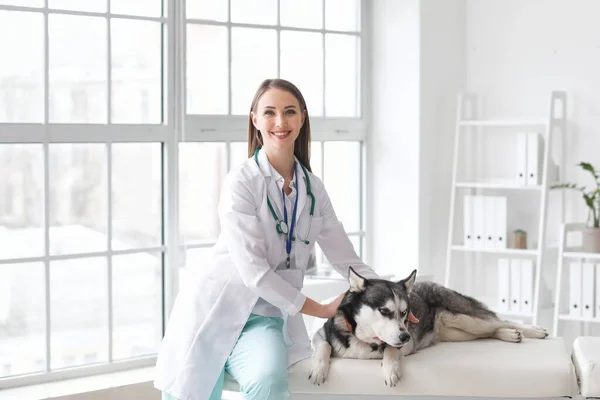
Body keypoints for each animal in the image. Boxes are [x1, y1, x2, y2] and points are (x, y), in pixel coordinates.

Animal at [310, 268, 548, 388]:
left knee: (498, 320)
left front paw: (390, 369)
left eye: (405, 313)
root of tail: (434, 283)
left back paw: (531, 330)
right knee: (489, 331)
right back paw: (510, 334)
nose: (406, 336)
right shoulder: (320, 335)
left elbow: (390, 349)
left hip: (467, 319)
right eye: (384, 311)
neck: (363, 339)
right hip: (457, 333)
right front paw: (319, 368)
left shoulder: (404, 344)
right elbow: (324, 347)